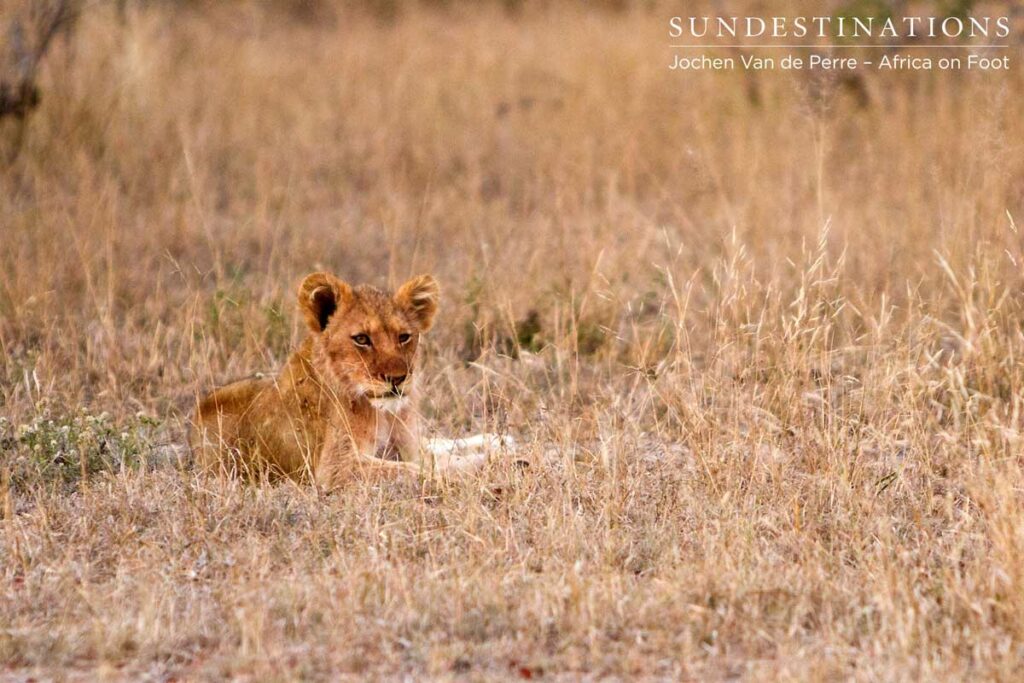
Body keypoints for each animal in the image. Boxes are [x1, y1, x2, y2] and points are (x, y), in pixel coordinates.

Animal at [189, 272, 505, 489]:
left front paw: (497, 456)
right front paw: (484, 469)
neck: (383, 414)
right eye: (362, 339)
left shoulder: (407, 446)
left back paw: (499, 440)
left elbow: (433, 457)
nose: (397, 379)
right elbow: (413, 469)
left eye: (404, 337)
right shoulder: (333, 469)